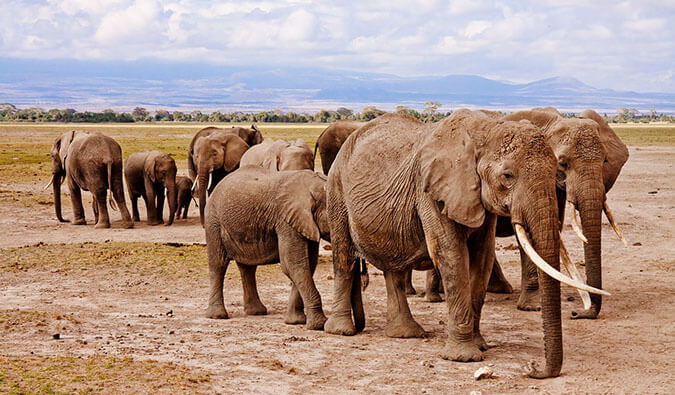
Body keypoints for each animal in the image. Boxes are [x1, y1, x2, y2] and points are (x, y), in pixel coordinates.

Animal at [206, 166, 332, 330]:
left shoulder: (305, 223)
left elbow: (307, 264)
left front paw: (295, 322)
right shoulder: (286, 221)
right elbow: (293, 264)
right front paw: (318, 325)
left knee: (248, 268)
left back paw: (256, 312)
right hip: (213, 221)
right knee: (218, 264)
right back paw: (217, 316)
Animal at [324, 110, 608, 378]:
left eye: (556, 170)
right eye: (507, 175)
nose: (533, 368)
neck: (484, 131)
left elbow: (482, 258)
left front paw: (480, 345)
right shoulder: (431, 192)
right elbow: (452, 255)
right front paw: (464, 357)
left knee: (393, 266)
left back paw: (405, 333)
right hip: (336, 191)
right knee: (344, 257)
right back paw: (341, 330)